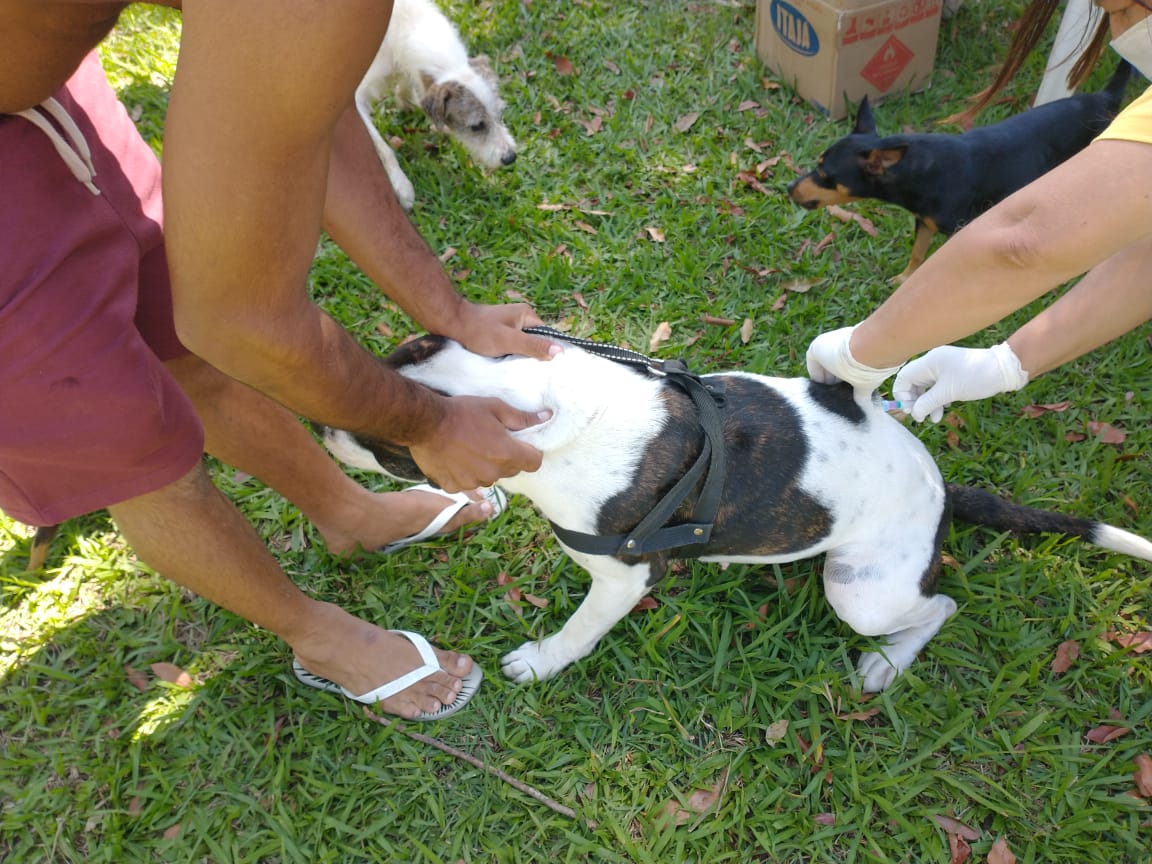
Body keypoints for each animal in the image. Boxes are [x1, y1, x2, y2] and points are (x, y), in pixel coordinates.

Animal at [322, 334, 1152, 695]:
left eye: (388, 443)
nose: (321, 427)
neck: (562, 413)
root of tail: (942, 490)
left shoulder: (622, 581)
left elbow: (582, 629)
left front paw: (542, 659)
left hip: (861, 591)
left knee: (939, 605)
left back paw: (887, 664)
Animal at [354, 0, 518, 210]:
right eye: (476, 126)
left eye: (500, 115)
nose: (511, 158)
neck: (409, 23)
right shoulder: (356, 97)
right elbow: (383, 148)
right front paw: (402, 186)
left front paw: (407, 101)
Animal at [787, 61, 1128, 284]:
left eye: (824, 174)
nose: (789, 188)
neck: (917, 171)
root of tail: (1105, 98)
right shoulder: (923, 222)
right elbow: (918, 255)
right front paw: (904, 280)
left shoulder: (959, 233)